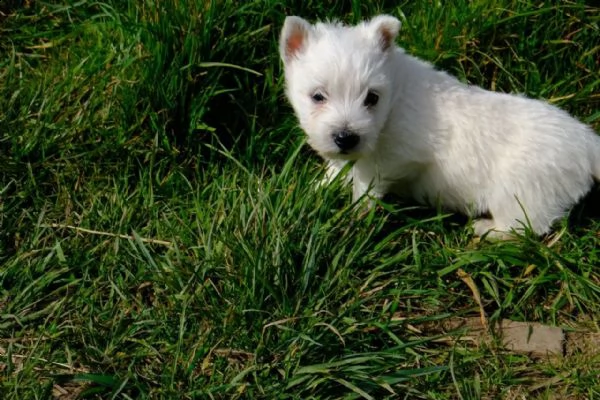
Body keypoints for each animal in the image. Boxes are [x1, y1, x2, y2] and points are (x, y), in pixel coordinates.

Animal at [282, 15, 600, 239]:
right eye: (318, 96)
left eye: (372, 98)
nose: (346, 138)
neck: (396, 97)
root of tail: (588, 144)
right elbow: (338, 170)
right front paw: (317, 189)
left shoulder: (394, 158)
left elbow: (366, 185)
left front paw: (352, 215)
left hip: (522, 191)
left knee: (527, 226)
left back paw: (486, 230)